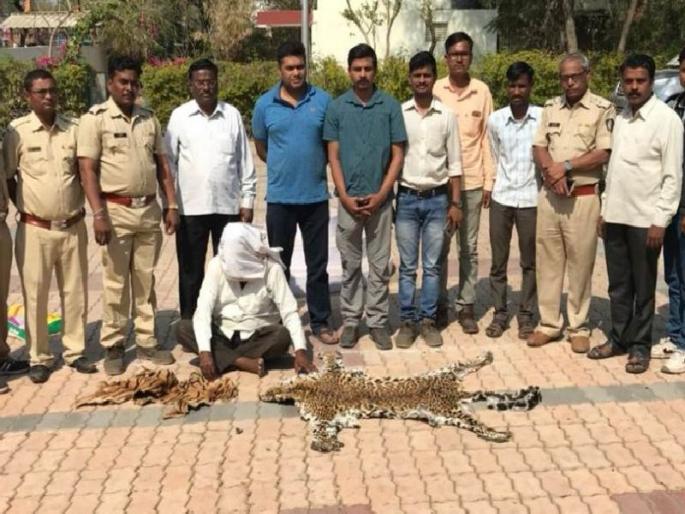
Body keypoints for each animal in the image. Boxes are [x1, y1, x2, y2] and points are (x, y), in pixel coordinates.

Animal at [259, 351, 541, 452]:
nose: (261, 395)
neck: (307, 389)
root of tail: (455, 393)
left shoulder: (324, 408)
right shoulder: (326, 415)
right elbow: (321, 431)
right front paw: (328, 442)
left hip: (449, 388)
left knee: (468, 369)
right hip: (453, 403)